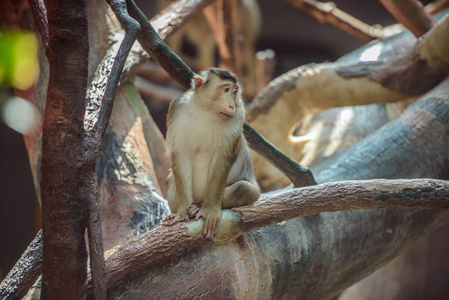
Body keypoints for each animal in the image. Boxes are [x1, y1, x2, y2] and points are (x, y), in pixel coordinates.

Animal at [163, 68, 260, 239]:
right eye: (226, 89)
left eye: (234, 91)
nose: (231, 105)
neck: (206, 111)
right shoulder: (176, 108)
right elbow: (180, 154)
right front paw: (182, 211)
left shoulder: (238, 115)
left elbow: (222, 159)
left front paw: (209, 210)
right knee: (171, 180)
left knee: (244, 188)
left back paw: (199, 206)